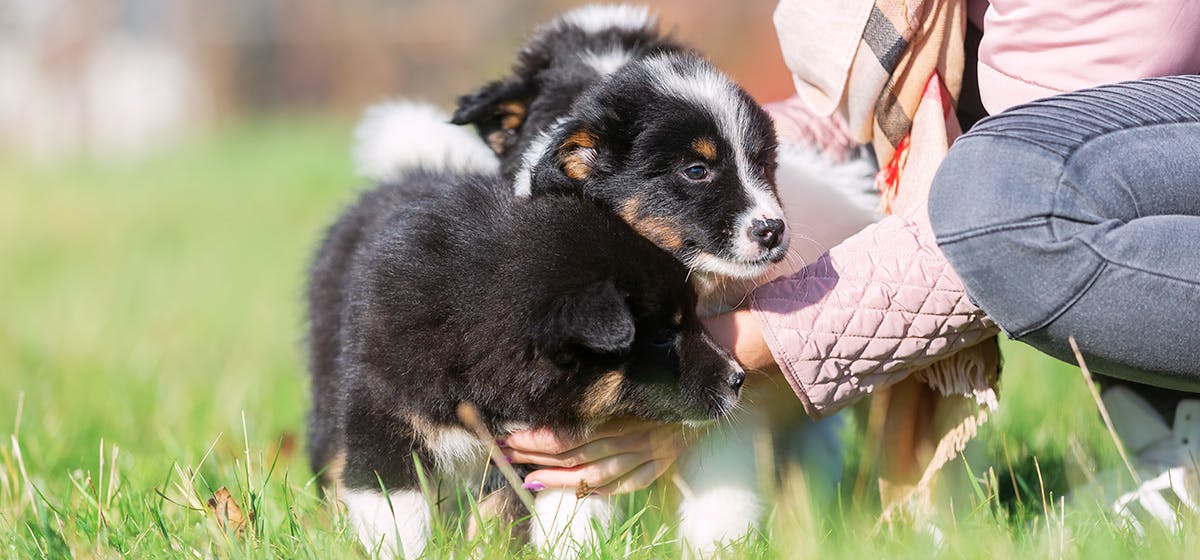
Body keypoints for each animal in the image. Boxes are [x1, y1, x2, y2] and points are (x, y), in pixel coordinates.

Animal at [309, 101, 739, 560]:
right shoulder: (383, 417)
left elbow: (516, 515)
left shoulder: (537, 453)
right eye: (661, 336)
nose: (738, 378)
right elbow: (398, 515)